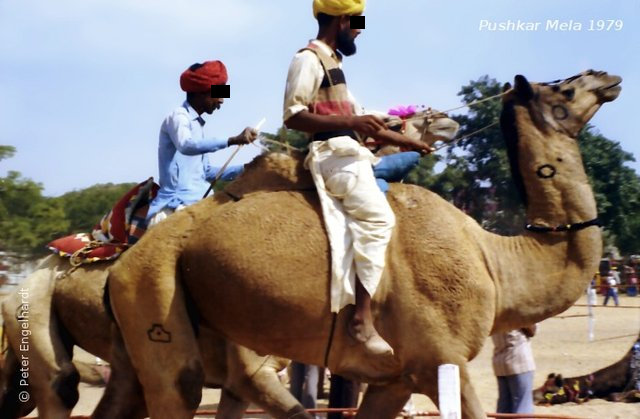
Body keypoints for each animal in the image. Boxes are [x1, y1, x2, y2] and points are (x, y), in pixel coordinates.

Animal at [106, 69, 624, 419]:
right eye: (564, 88)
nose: (607, 76)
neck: (493, 259)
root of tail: (120, 264)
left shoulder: (398, 376)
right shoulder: (441, 358)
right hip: (154, 291)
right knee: (180, 385)